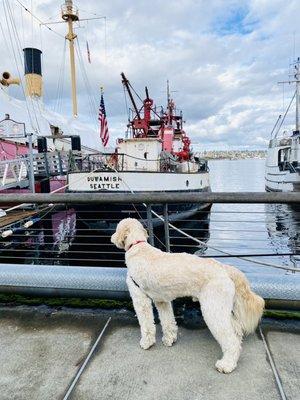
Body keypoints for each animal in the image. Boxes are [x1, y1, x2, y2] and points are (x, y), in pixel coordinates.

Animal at [111, 219, 264, 372]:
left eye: (116, 228)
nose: (111, 238)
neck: (138, 246)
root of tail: (224, 268)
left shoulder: (140, 299)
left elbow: (146, 325)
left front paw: (146, 343)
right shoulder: (162, 301)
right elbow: (168, 321)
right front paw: (169, 339)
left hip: (212, 309)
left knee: (231, 340)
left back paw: (226, 364)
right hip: (221, 308)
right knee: (236, 333)